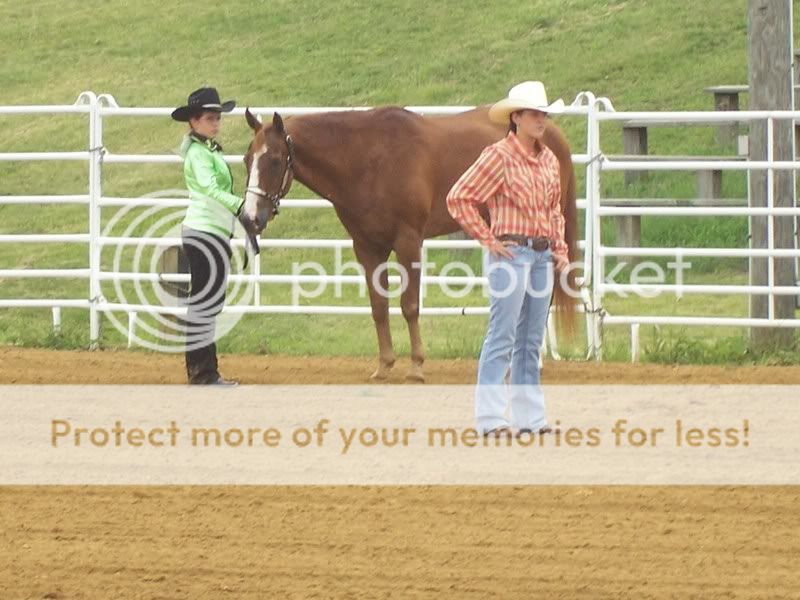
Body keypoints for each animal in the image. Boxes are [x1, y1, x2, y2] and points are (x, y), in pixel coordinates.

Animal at [238, 106, 576, 380]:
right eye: (246, 159)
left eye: (275, 160)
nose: (250, 217)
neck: (369, 158)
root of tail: (551, 134)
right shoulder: (366, 247)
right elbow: (378, 306)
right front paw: (384, 365)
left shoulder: (409, 241)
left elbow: (410, 305)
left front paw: (416, 366)